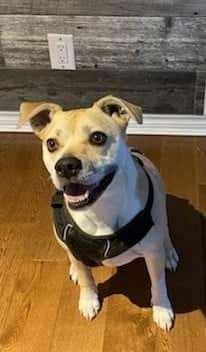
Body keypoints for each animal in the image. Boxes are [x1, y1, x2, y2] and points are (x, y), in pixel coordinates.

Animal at [18, 95, 179, 330]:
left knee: (165, 234)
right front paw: (88, 301)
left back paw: (169, 254)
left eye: (97, 137)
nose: (65, 165)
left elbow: (158, 283)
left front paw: (162, 309)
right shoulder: (73, 246)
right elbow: (87, 279)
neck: (100, 209)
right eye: (51, 143)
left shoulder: (152, 253)